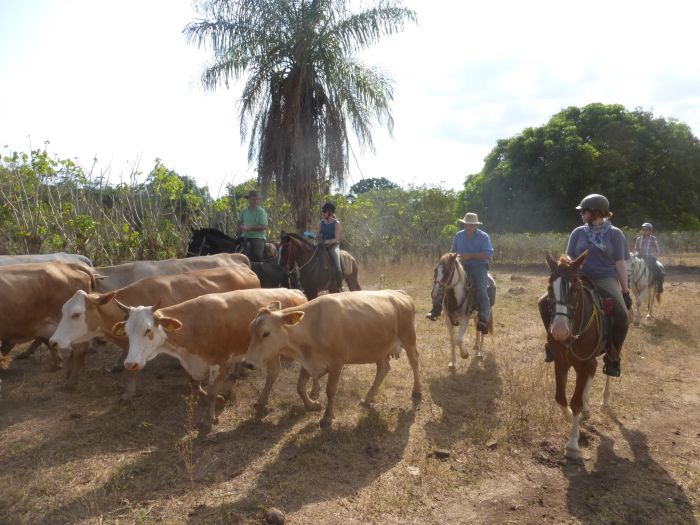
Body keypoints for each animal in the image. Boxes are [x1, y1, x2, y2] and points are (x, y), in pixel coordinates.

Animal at [113, 286, 308, 430]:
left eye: (148, 330)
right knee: (274, 372)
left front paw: (210, 418)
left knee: (273, 373)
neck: (193, 325)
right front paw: (215, 398)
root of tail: (296, 292)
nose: (130, 364)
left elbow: (212, 392)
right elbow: (195, 385)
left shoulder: (220, 362)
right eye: (127, 332)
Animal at [243, 288, 422, 428]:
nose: (247, 363)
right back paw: (367, 399)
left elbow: (330, 390)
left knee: (414, 362)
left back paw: (417, 391)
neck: (312, 327)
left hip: (409, 338)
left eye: (266, 333)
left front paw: (327, 417)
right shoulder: (309, 362)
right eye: (251, 330)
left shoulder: (337, 362)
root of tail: (399, 293)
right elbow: (300, 387)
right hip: (377, 348)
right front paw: (313, 405)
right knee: (383, 368)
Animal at [544, 250, 608, 458]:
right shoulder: (560, 362)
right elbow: (561, 398)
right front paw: (570, 418)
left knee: (608, 369)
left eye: (574, 289)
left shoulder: (582, 363)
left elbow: (576, 402)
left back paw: (604, 400)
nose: (559, 331)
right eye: (550, 287)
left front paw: (572, 443)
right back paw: (587, 410)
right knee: (594, 369)